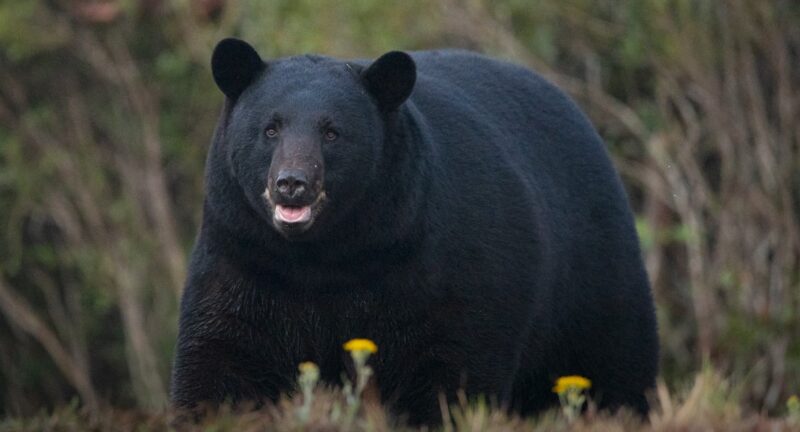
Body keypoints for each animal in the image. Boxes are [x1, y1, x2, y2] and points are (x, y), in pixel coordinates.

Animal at [172, 38, 660, 426]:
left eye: (332, 132)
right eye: (270, 129)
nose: (292, 183)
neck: (321, 257)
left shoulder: (439, 270)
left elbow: (453, 370)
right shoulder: (244, 258)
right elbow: (220, 362)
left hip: (595, 286)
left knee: (616, 371)